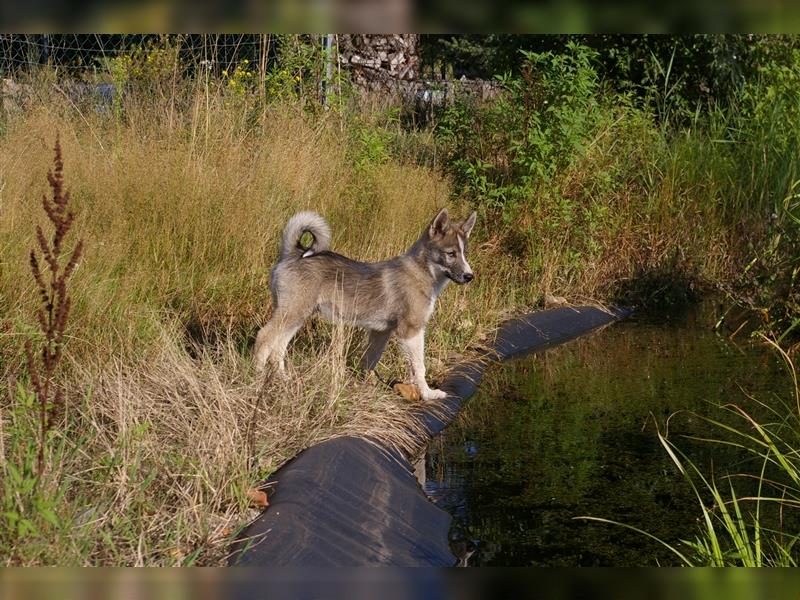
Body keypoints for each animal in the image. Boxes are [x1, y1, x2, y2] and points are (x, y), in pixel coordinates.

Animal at [253, 206, 476, 398]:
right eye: (451, 254)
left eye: (464, 253)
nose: (469, 276)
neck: (422, 272)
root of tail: (294, 252)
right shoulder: (411, 330)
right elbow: (419, 367)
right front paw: (428, 394)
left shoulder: (381, 332)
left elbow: (369, 360)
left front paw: (365, 385)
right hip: (292, 313)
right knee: (264, 337)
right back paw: (257, 376)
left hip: (296, 315)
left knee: (278, 348)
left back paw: (284, 378)